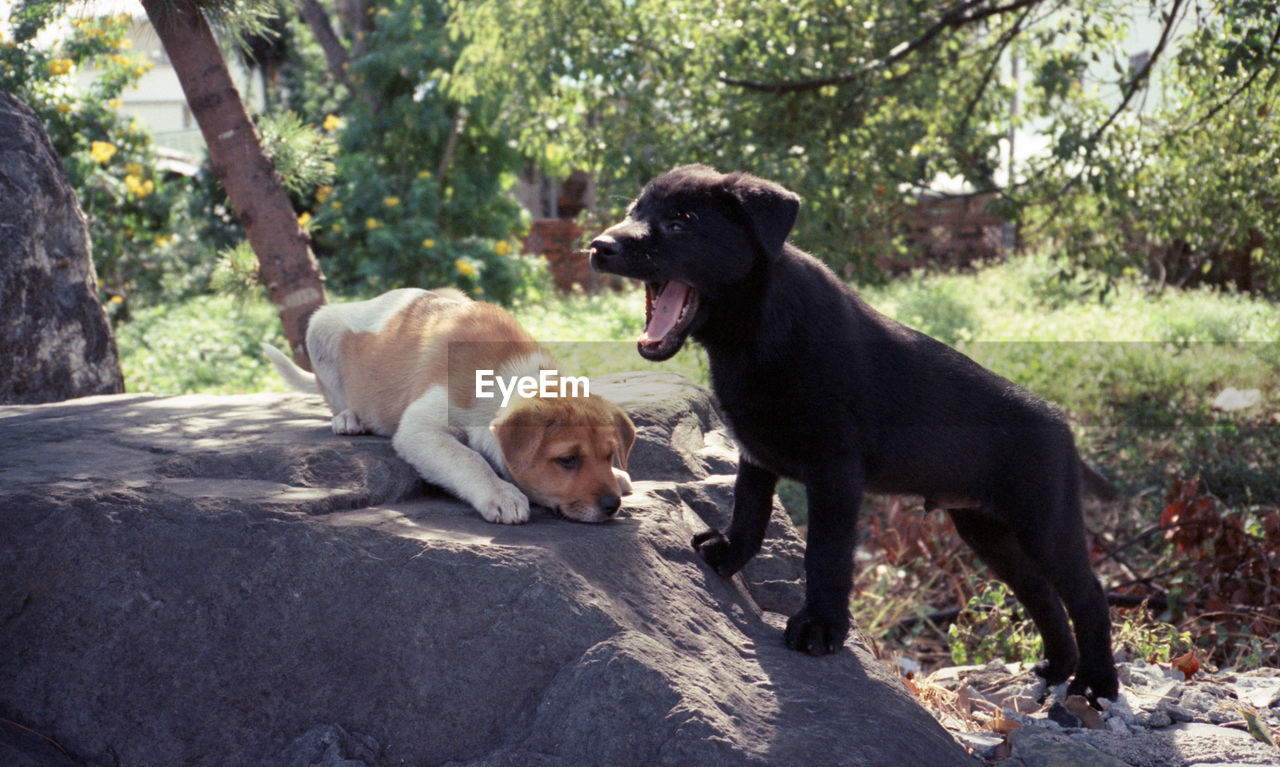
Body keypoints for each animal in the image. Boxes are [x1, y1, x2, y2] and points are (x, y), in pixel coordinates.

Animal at [263, 285, 634, 524]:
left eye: (608, 455)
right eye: (567, 460)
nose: (612, 505)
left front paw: (618, 474)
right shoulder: (418, 429)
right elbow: (469, 458)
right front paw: (501, 494)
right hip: (319, 327)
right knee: (334, 401)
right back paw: (348, 419)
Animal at [588, 165, 1121, 706]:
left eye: (682, 222)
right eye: (635, 211)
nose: (599, 246)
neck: (754, 327)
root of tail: (1062, 425)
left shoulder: (835, 473)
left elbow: (825, 554)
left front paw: (819, 627)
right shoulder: (754, 453)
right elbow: (749, 510)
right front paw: (730, 553)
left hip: (1044, 524)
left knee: (1088, 596)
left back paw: (1095, 683)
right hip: (988, 531)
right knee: (1042, 594)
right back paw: (1057, 667)